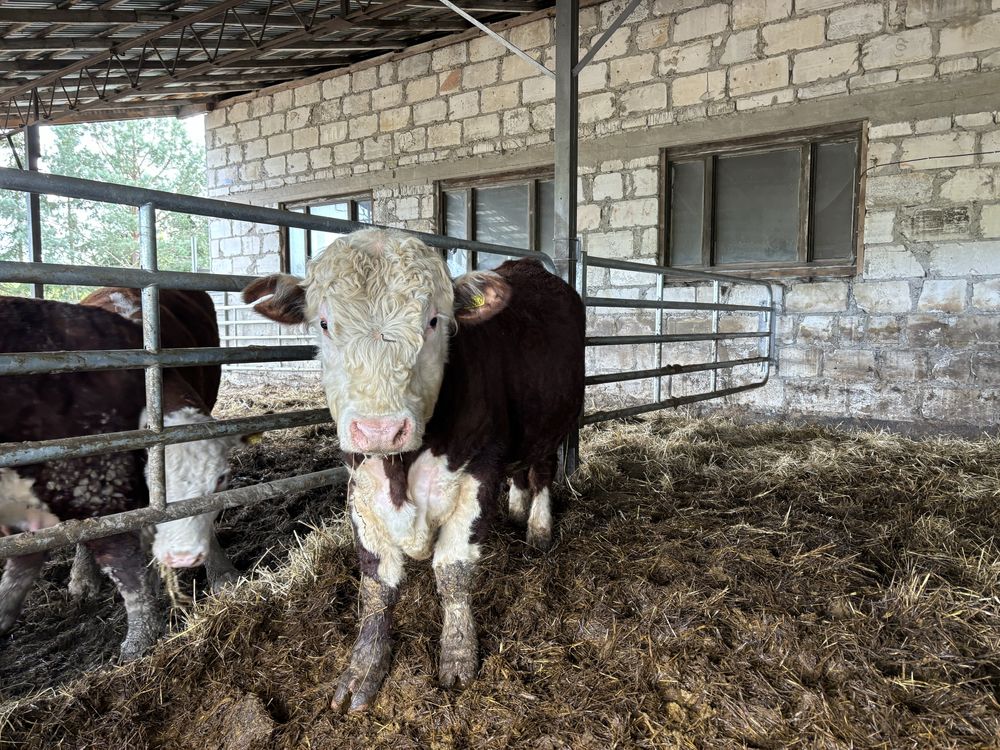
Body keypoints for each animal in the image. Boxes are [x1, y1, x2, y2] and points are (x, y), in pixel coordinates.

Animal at [244, 229, 584, 712]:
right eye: (324, 323)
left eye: (434, 321)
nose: (380, 429)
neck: (400, 468)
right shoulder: (361, 489)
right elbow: (376, 584)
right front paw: (364, 667)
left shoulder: (478, 473)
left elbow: (454, 572)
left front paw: (458, 654)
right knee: (522, 473)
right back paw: (518, 511)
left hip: (555, 422)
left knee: (541, 473)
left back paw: (538, 529)